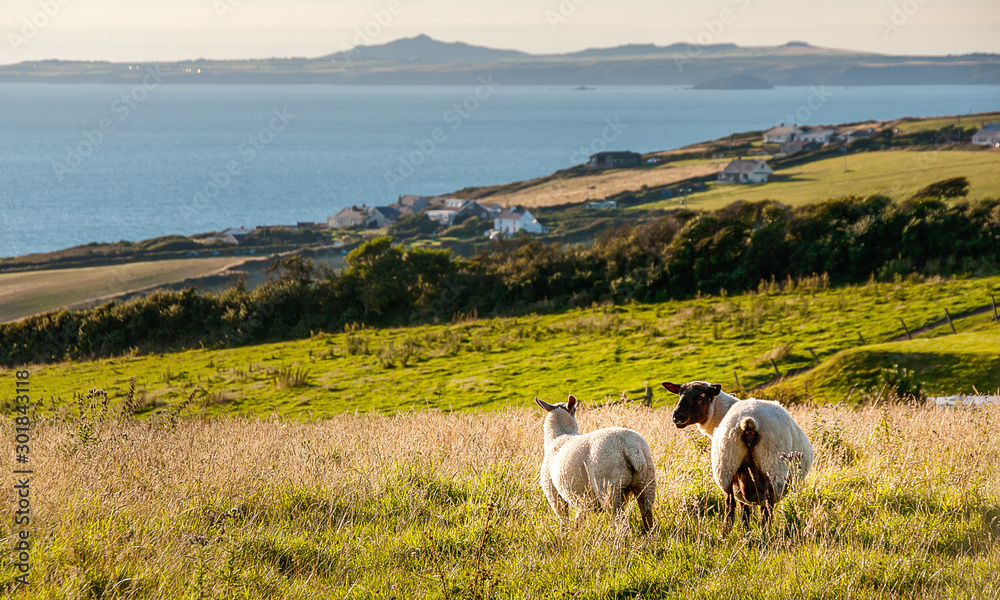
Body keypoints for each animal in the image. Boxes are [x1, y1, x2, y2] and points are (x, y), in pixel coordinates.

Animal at [536, 396, 660, 532]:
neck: (559, 436)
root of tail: (630, 446)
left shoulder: (553, 494)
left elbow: (564, 518)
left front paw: (566, 532)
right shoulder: (584, 500)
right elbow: (580, 516)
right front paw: (576, 530)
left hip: (608, 488)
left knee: (620, 520)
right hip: (646, 483)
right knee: (647, 513)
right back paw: (650, 534)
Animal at [664, 382, 812, 532]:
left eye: (702, 396)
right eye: (680, 393)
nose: (677, 417)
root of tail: (749, 420)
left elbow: (744, 510)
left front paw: (745, 529)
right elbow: (749, 509)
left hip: (725, 466)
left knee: (730, 507)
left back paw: (727, 534)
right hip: (772, 467)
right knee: (766, 510)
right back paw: (765, 533)